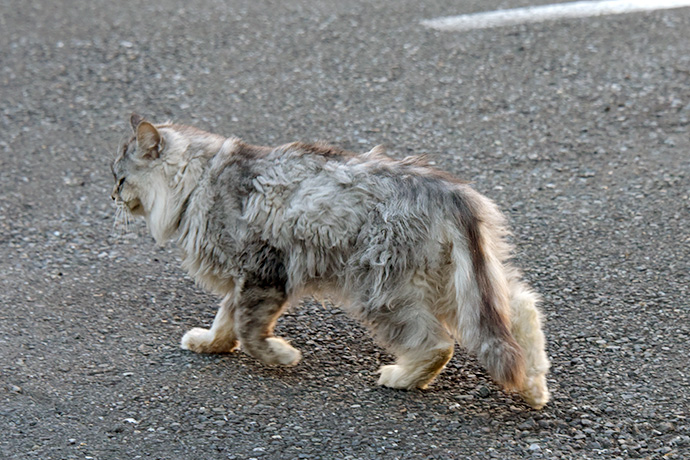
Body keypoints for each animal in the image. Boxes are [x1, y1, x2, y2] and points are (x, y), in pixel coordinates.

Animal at [111, 113, 548, 408]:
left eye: (120, 178)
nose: (112, 197)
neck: (200, 182)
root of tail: (450, 193)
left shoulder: (262, 271)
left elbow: (249, 331)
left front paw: (279, 355)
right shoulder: (245, 278)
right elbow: (226, 319)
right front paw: (211, 343)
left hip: (381, 287)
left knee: (438, 344)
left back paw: (403, 377)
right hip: (461, 281)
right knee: (521, 310)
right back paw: (534, 386)